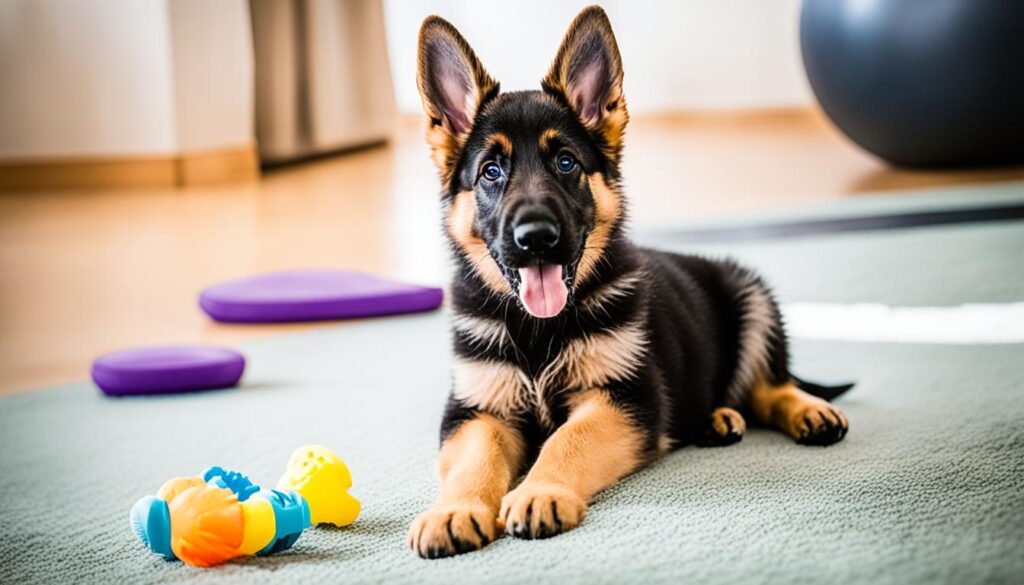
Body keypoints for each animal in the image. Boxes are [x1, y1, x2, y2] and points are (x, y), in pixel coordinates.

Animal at [405, 6, 847, 561]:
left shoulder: (623, 399)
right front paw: (455, 509)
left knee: (770, 385)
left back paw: (806, 410)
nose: (536, 238)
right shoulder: (476, 411)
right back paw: (713, 418)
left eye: (566, 163)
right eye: (490, 172)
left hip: (753, 298)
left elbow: (566, 441)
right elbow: (474, 461)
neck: (538, 330)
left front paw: (540, 491)